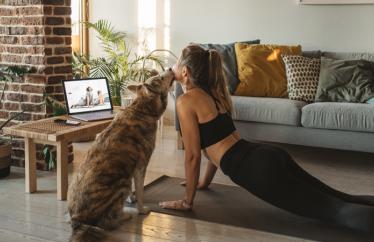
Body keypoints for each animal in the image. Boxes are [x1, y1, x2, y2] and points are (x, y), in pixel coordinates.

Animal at [67, 68, 175, 242]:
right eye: (160, 78)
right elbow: (140, 191)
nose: (171, 69)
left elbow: (135, 190)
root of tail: (77, 221)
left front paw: (132, 199)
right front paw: (141, 209)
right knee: (107, 223)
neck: (141, 110)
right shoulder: (140, 166)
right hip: (122, 184)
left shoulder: (130, 168)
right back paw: (124, 217)